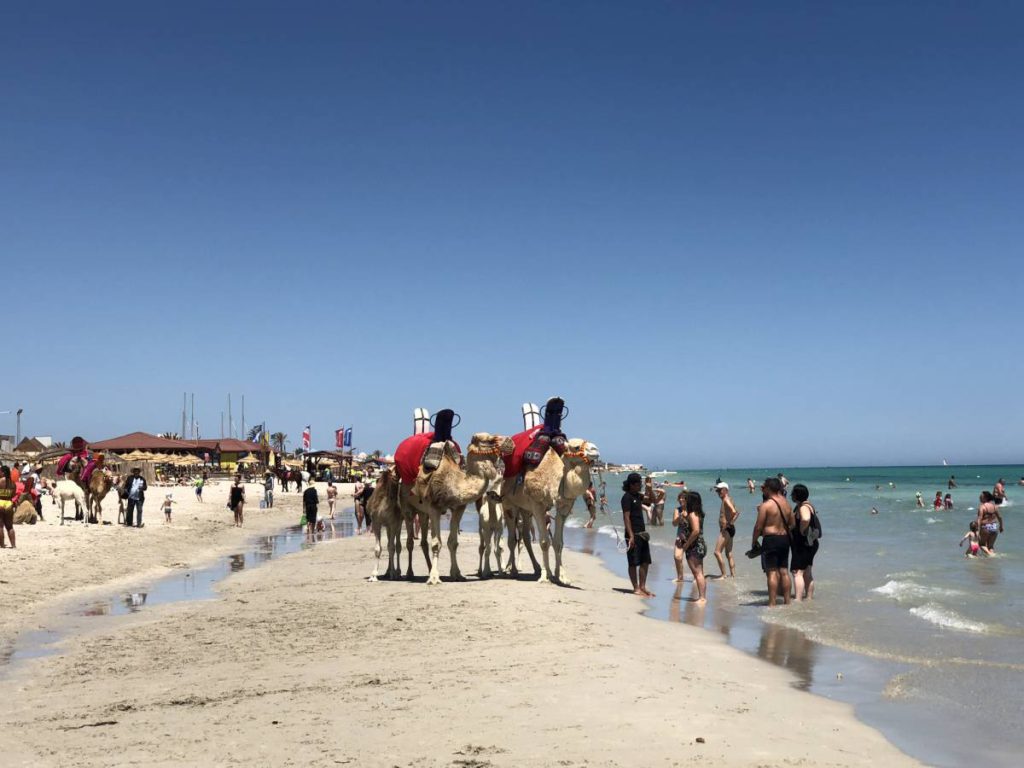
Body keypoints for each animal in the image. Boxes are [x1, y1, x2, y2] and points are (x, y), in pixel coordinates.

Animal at [501, 436, 598, 585]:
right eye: (576, 447)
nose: (595, 450)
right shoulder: (537, 505)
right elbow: (545, 542)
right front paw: (545, 577)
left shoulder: (564, 506)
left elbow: (558, 542)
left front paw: (561, 576)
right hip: (509, 504)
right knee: (512, 539)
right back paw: (512, 570)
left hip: (525, 509)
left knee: (525, 537)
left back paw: (536, 568)